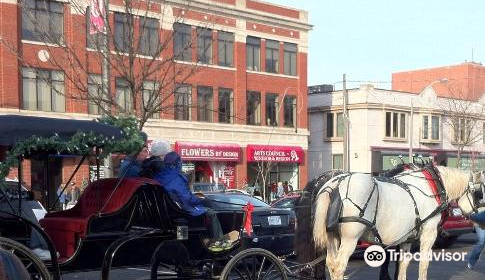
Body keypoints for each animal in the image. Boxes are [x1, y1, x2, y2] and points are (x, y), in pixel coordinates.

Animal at [312, 166, 478, 280]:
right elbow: (424, 263)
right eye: (477, 192)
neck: (431, 188)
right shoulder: (429, 234)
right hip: (349, 238)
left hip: (333, 236)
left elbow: (403, 264)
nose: (476, 214)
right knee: (339, 267)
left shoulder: (407, 238)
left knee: (331, 264)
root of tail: (335, 183)